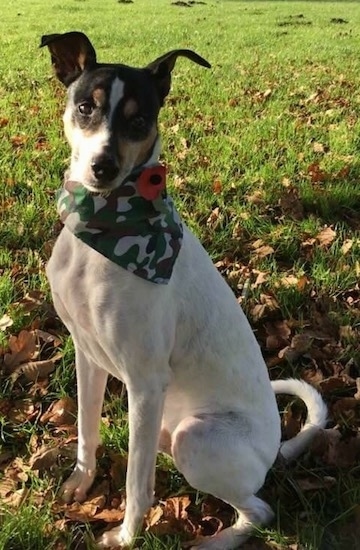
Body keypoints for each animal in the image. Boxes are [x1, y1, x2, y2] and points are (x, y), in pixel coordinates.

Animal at [40, 32, 328, 548]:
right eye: (85, 107)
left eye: (139, 119)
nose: (102, 166)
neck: (105, 231)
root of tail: (274, 449)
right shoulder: (87, 355)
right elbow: (86, 430)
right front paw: (81, 481)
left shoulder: (145, 380)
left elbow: (137, 484)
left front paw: (125, 536)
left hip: (196, 438)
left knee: (259, 511)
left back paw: (215, 540)